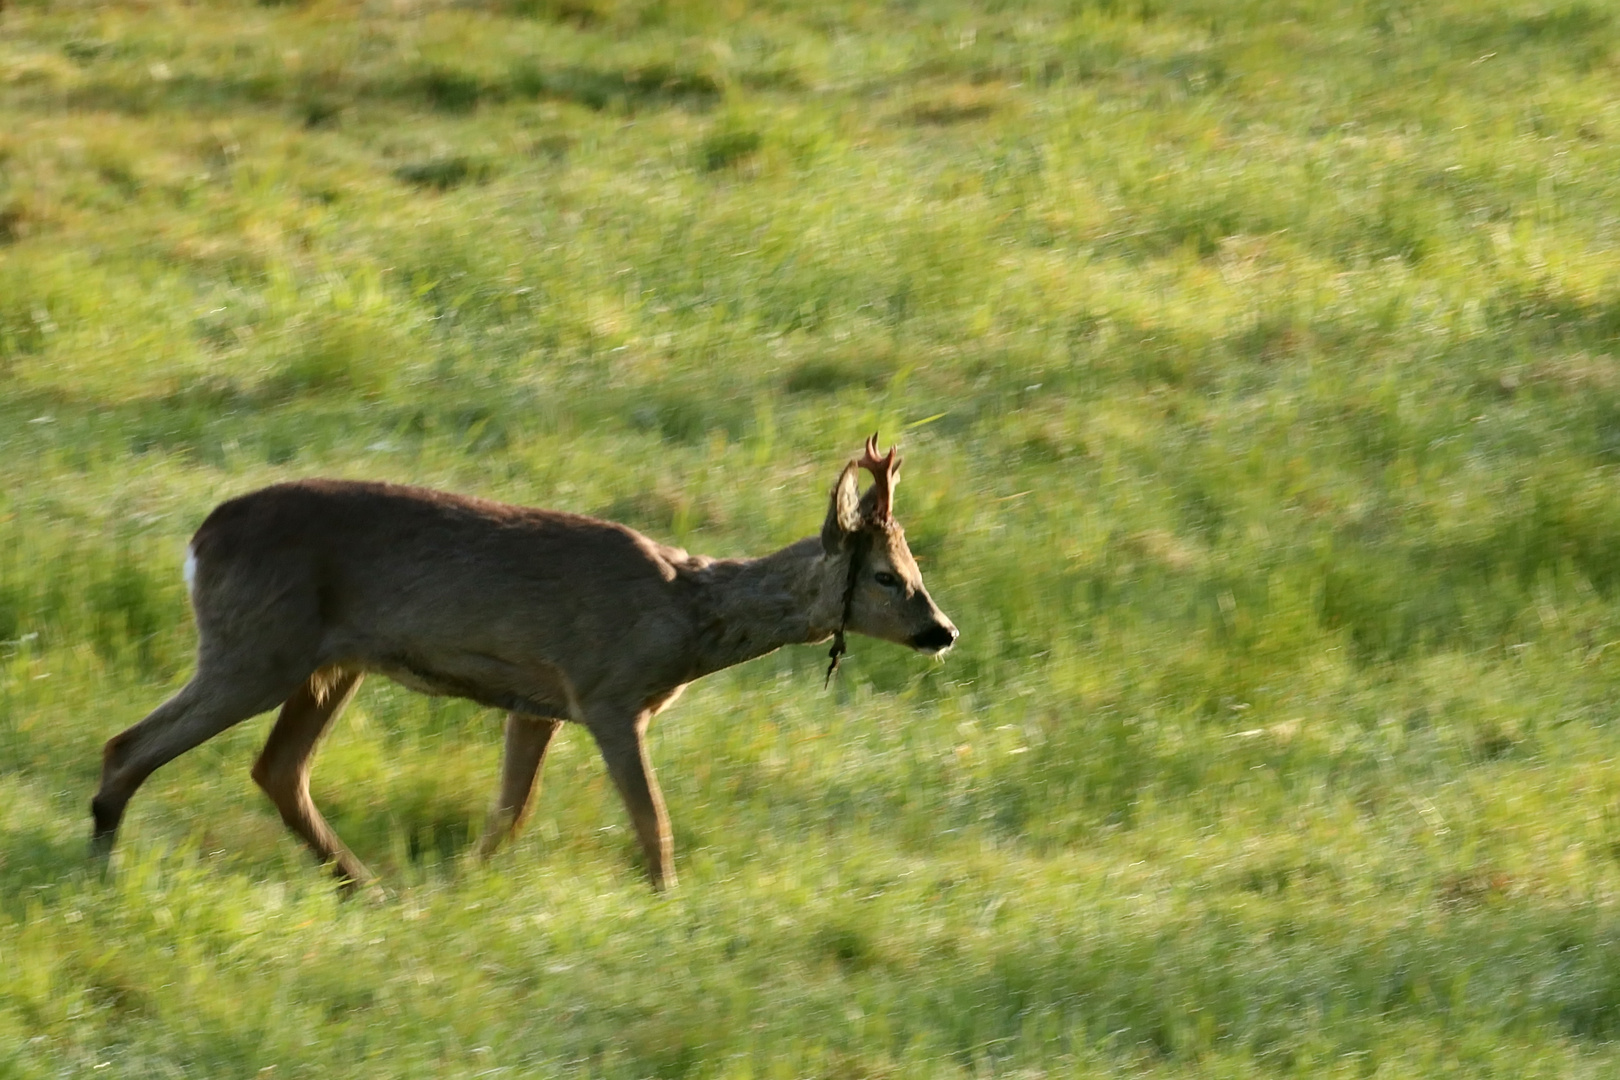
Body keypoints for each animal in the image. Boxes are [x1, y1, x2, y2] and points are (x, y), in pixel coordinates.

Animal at [91, 433, 946, 893]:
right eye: (885, 576)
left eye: (916, 568)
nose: (942, 631)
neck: (686, 619)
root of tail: (198, 541)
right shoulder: (605, 690)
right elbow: (651, 820)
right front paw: (668, 898)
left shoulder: (537, 702)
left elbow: (510, 812)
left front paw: (465, 880)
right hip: (257, 646)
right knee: (128, 744)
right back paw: (102, 867)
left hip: (329, 663)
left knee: (277, 769)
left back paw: (366, 888)